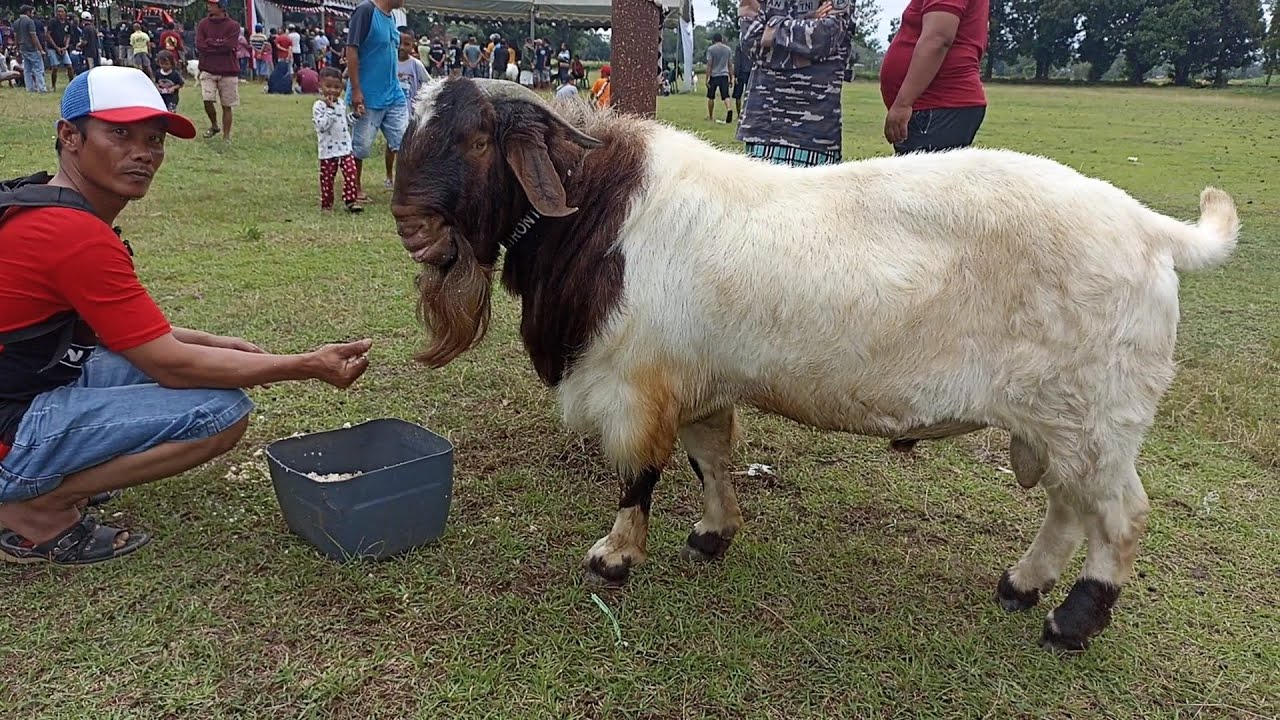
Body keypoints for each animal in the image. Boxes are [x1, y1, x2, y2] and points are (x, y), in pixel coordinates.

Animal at [391, 77, 1240, 652]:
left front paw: (614, 557)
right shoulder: (698, 380)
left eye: (475, 138)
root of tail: (1154, 231)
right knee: (1068, 508)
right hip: (1062, 421)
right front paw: (712, 534)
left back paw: (1072, 620)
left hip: (1094, 419)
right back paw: (1020, 586)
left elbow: (639, 474)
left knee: (1120, 516)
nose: (412, 227)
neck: (602, 213)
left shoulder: (635, 384)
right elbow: (709, 458)